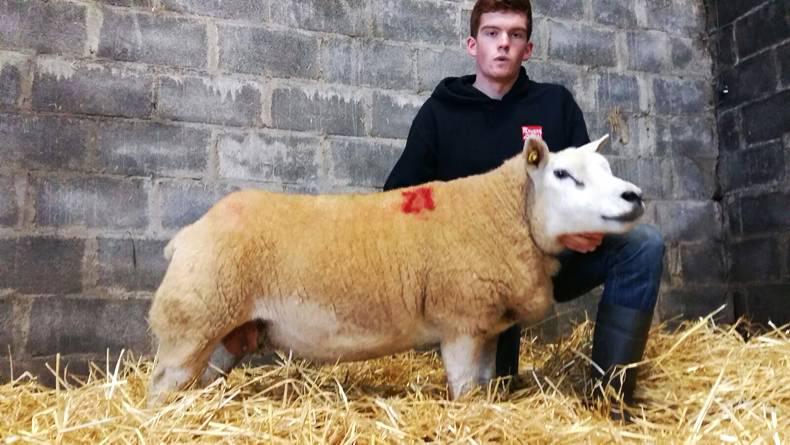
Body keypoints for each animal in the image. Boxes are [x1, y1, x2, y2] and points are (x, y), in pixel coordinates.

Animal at [147, 135, 644, 404]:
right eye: (562, 174)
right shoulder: (460, 321)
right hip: (192, 319)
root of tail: (186, 235)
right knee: (162, 384)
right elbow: (464, 386)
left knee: (202, 380)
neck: (504, 213)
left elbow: (482, 384)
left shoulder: (483, 324)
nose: (634, 196)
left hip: (231, 329)